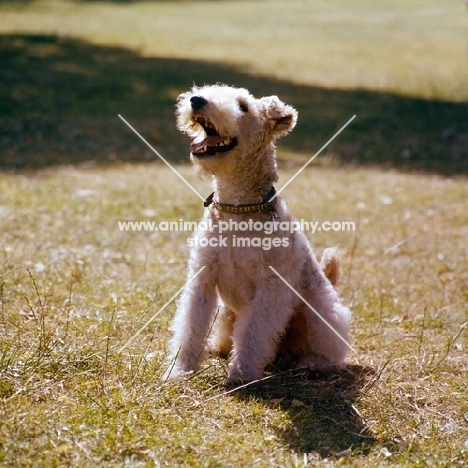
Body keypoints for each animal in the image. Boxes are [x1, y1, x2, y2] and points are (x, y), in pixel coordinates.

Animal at [165, 84, 352, 384]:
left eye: (243, 106)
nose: (196, 100)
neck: (237, 208)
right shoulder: (202, 278)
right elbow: (191, 327)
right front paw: (179, 370)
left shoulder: (270, 289)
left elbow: (254, 334)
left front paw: (241, 375)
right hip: (228, 314)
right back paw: (219, 348)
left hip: (322, 313)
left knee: (327, 350)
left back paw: (312, 364)